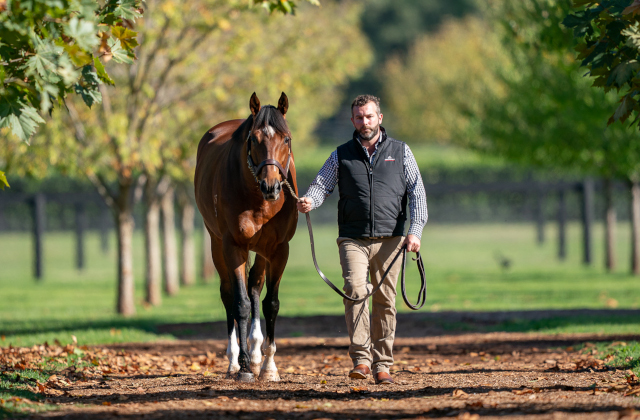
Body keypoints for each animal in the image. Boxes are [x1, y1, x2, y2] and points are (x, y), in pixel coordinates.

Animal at [194, 93, 298, 382]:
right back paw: (235, 360)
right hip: (216, 243)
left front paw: (269, 366)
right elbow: (239, 303)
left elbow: (270, 303)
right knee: (229, 294)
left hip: (262, 251)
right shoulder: (234, 246)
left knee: (254, 288)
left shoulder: (279, 249)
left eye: (286, 139)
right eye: (254, 139)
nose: (271, 186)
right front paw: (242, 367)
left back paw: (255, 354)